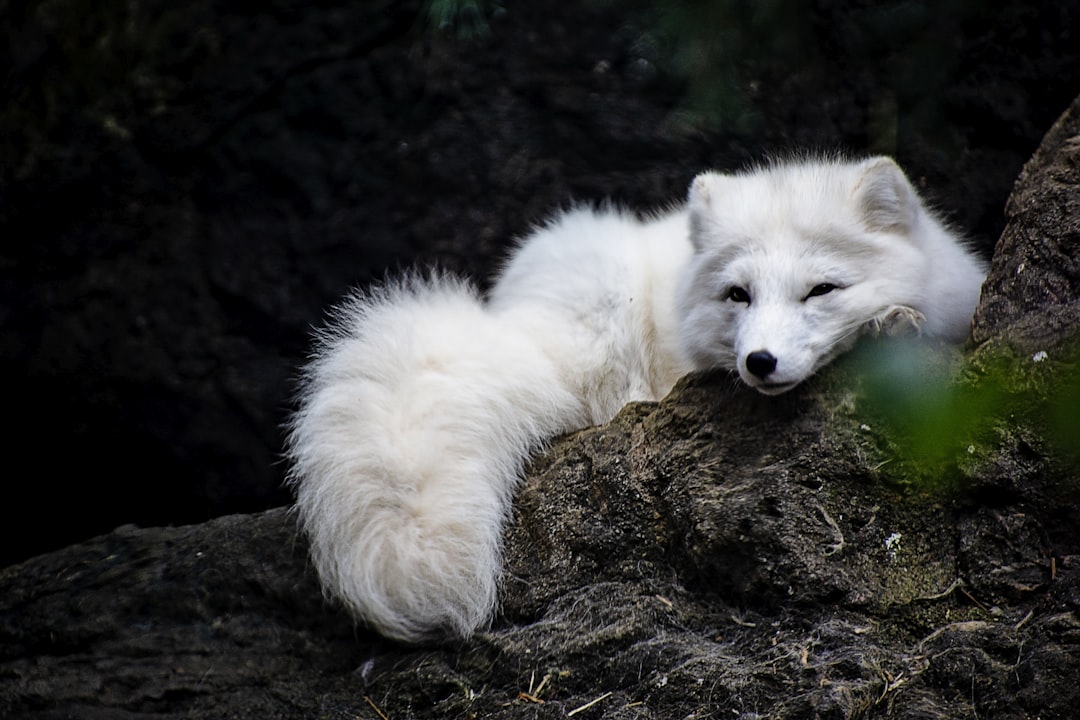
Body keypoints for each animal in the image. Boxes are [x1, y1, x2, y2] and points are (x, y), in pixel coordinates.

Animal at [287, 156, 987, 643]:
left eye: (821, 289)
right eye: (738, 294)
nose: (759, 362)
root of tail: (516, 316)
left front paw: (892, 322)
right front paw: (886, 326)